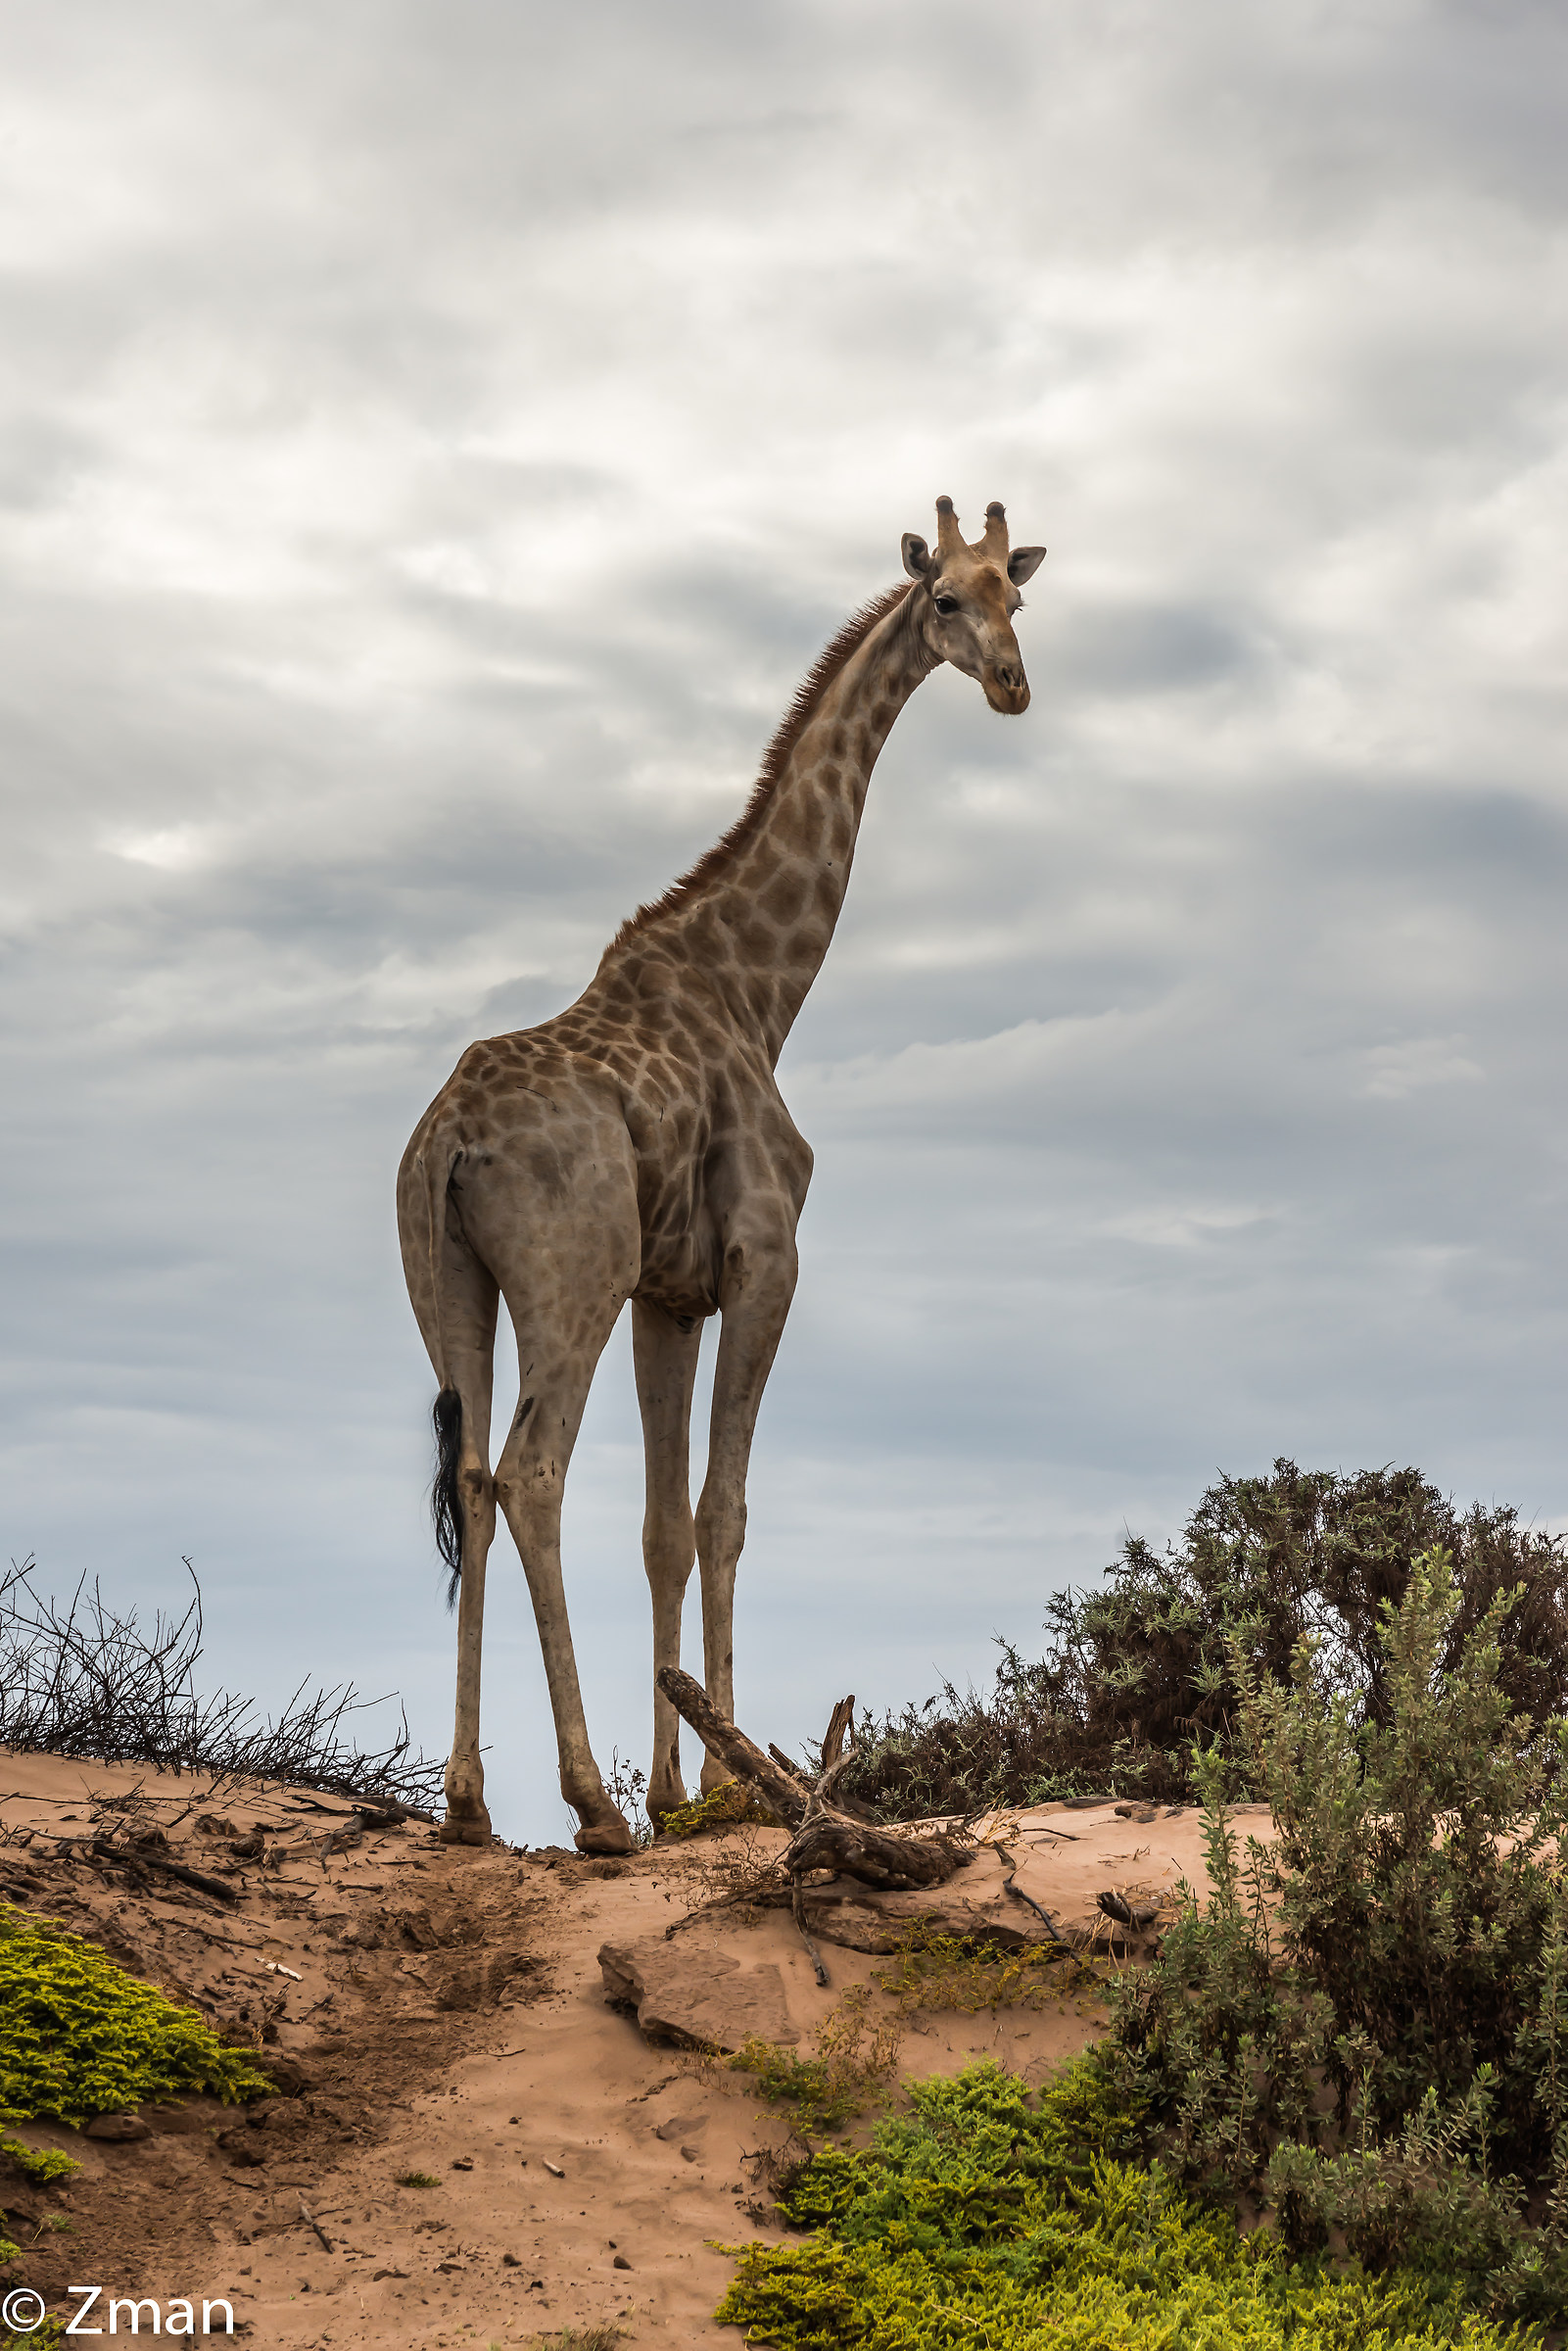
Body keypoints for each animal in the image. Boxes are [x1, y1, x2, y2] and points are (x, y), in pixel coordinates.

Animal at [397, 496, 1045, 1849]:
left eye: (1016, 595)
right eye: (945, 600)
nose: (1014, 684)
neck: (761, 990)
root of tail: (448, 1144)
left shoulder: (669, 1295)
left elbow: (662, 1528)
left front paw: (682, 1788)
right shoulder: (764, 1262)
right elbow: (723, 1511)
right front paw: (733, 1785)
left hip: (449, 1287)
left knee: (471, 1479)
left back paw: (470, 1804)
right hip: (569, 1281)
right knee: (532, 1472)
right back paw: (584, 1803)